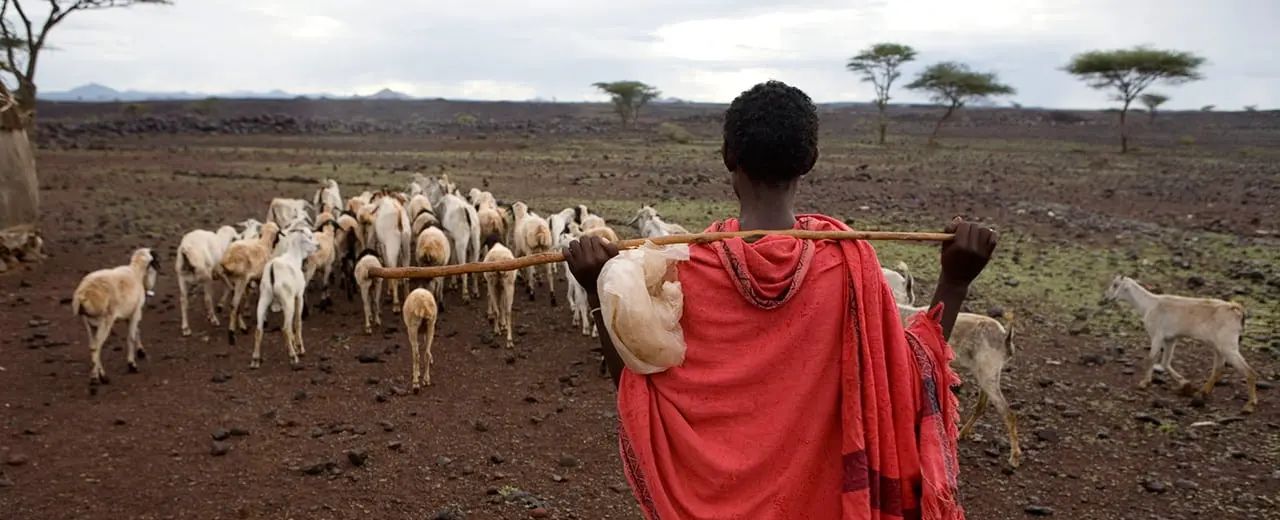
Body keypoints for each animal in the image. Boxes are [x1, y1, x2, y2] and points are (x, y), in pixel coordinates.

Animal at [72, 248, 161, 391]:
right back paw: (97, 378)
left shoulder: (128, 314)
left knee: (92, 346)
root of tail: (83, 295)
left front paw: (140, 351)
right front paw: (132, 364)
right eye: (155, 264)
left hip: (88, 322)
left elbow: (136, 331)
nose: (151, 288)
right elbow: (131, 337)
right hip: (104, 321)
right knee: (97, 347)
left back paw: (100, 375)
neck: (136, 272)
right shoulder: (136, 312)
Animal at [1103, 275, 1258, 413]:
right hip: (1219, 348)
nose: (1106, 298)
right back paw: (1202, 392)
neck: (1149, 304)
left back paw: (1250, 405)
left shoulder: (1157, 335)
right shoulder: (1170, 339)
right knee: (1218, 370)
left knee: (1249, 371)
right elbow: (1165, 362)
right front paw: (1185, 383)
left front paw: (1144, 383)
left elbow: (1151, 358)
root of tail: (1235, 309)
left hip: (1228, 347)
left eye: (1115, 285)